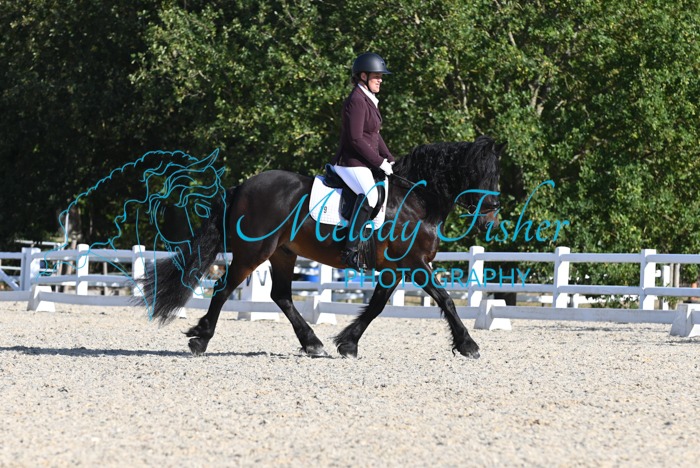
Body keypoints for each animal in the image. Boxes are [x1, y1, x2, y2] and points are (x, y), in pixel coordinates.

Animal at [142, 135, 504, 359]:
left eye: (495, 174)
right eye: (476, 172)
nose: (490, 219)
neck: (416, 200)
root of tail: (242, 186)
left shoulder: (394, 268)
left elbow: (377, 306)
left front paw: (348, 343)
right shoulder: (414, 262)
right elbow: (446, 299)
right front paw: (469, 345)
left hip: (283, 253)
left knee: (281, 296)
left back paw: (313, 343)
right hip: (254, 252)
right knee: (224, 287)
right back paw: (200, 337)